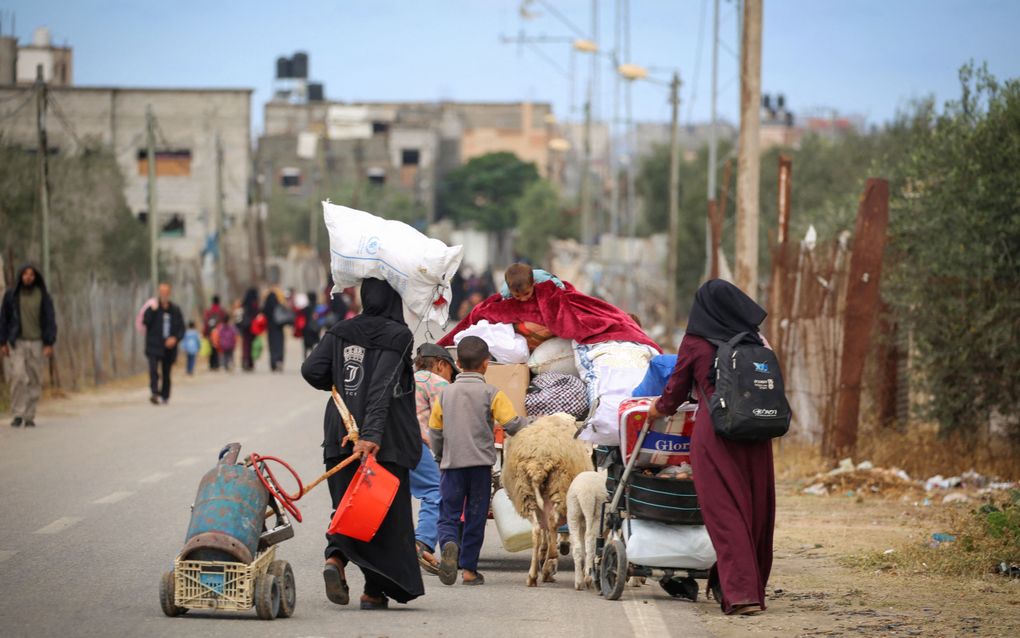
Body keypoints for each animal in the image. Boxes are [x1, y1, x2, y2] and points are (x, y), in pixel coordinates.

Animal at [499, 412, 591, 587]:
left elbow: (545, 531)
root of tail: (537, 465)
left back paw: (533, 575)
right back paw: (551, 560)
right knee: (552, 523)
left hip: (525, 493)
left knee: (537, 529)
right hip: (559, 488)